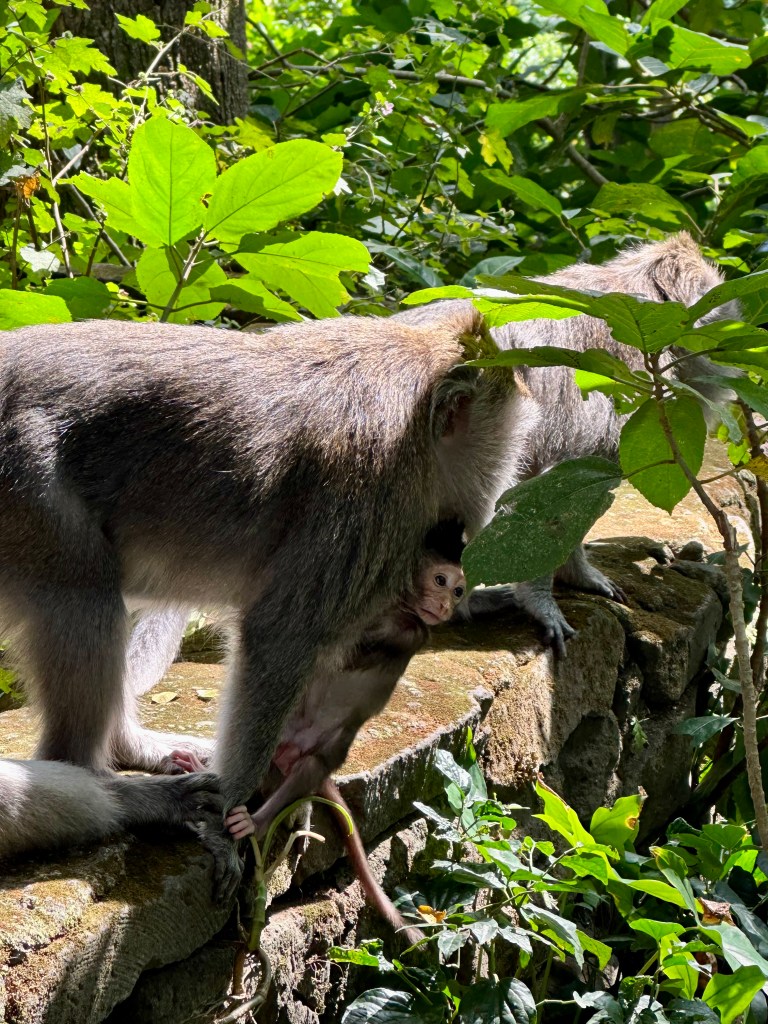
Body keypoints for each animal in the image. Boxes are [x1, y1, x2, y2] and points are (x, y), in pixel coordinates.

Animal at [0, 303, 520, 898]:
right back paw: (106, 779)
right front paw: (229, 821)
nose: (489, 512)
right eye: (498, 451)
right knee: (85, 592)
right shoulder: (369, 498)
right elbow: (279, 637)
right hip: (27, 488)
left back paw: (128, 749)